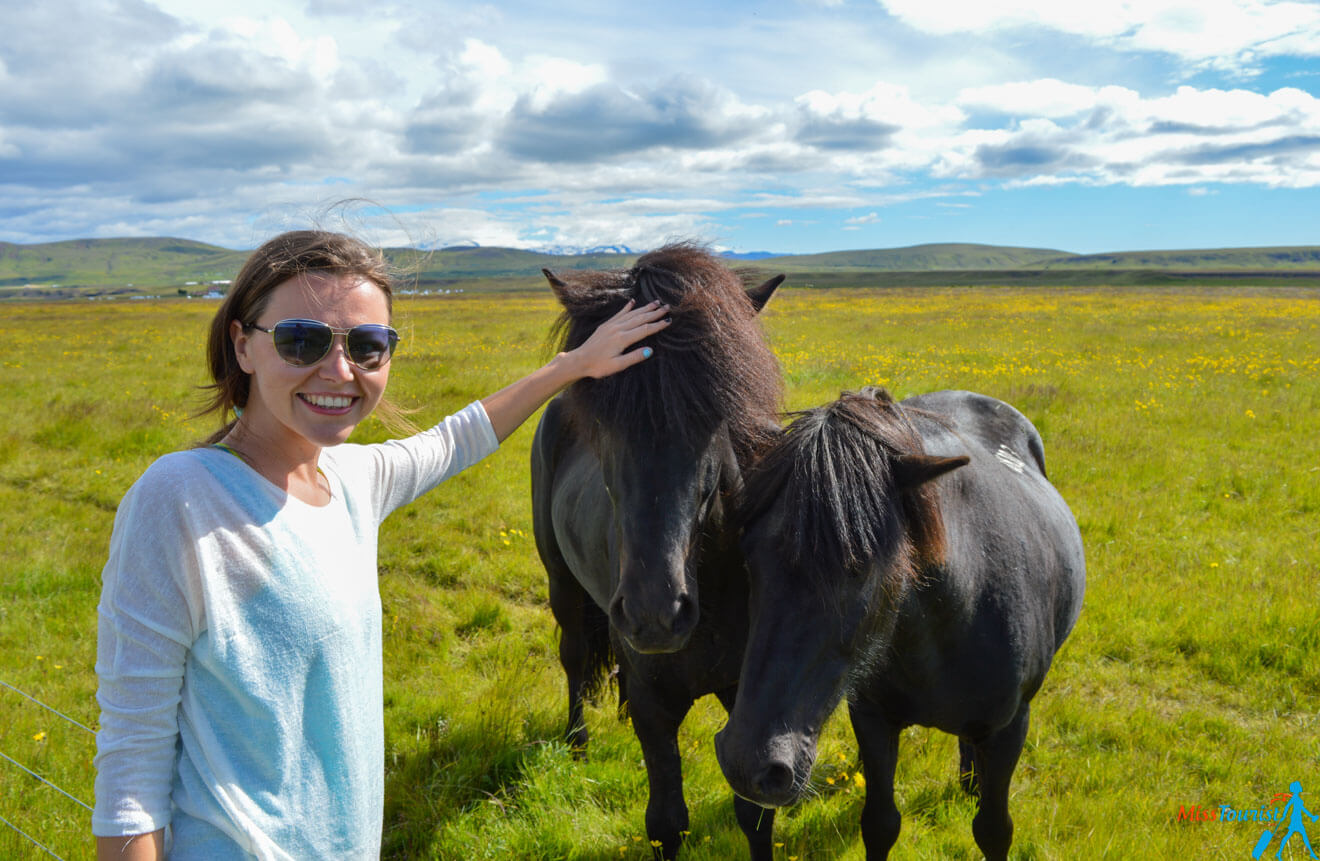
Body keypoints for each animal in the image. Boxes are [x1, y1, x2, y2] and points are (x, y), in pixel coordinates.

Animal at [533, 241, 786, 861]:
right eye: (601, 421)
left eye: (716, 415)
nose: (655, 616)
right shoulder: (656, 708)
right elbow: (666, 821)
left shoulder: (745, 696)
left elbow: (755, 815)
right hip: (563, 587)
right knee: (574, 656)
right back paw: (577, 741)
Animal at [718, 390, 1087, 861]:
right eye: (747, 554)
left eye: (860, 569)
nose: (747, 765)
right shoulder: (873, 719)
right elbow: (880, 824)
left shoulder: (1009, 730)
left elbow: (993, 829)